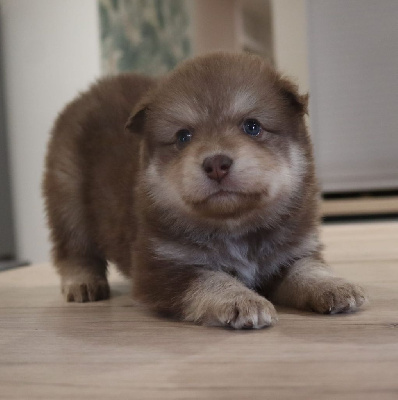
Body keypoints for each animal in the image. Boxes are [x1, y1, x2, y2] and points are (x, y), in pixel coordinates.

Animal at [43, 52, 366, 328]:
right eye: (183, 136)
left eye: (252, 126)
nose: (216, 164)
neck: (236, 228)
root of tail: (89, 92)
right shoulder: (163, 267)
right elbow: (209, 279)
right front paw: (241, 299)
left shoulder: (291, 252)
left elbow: (307, 269)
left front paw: (333, 285)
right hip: (67, 195)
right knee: (74, 248)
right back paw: (83, 283)